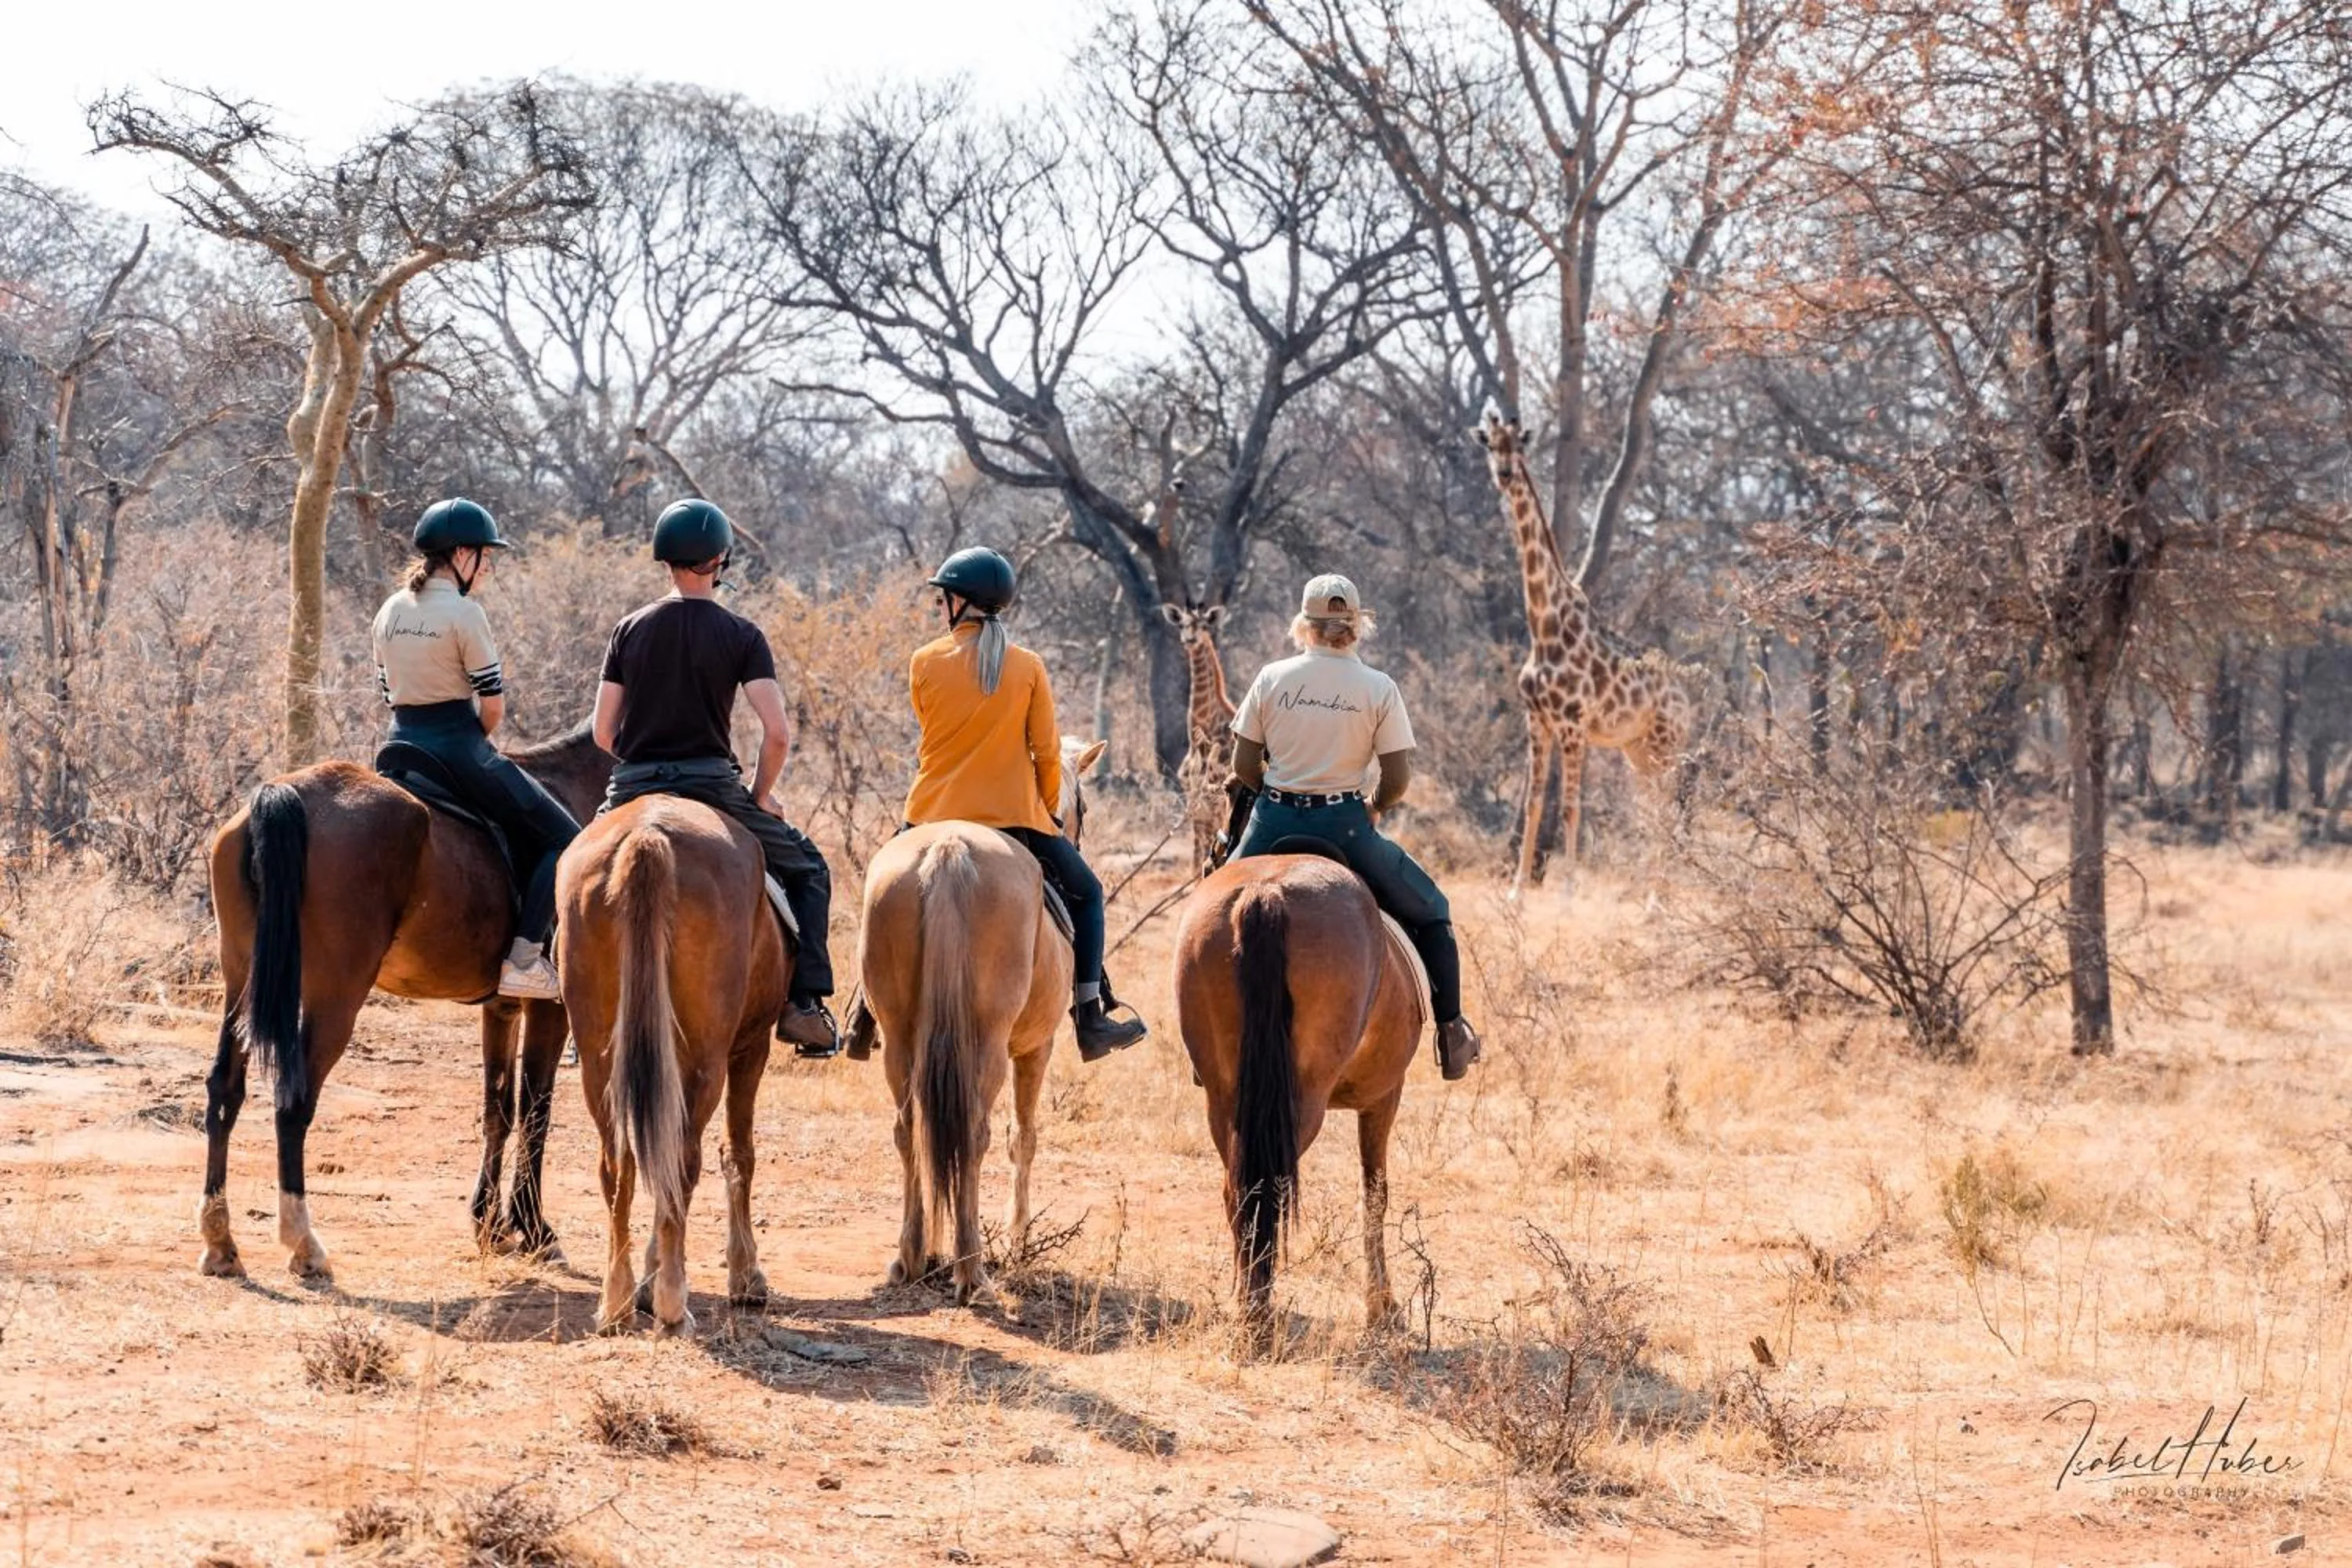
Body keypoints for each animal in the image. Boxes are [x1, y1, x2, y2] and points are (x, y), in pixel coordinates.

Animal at [199, 727, 613, 1282]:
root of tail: (288, 794)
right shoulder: (552, 1011)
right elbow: (535, 1112)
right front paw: (535, 1231)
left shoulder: (502, 1008)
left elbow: (498, 1110)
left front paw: (490, 1228)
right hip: (335, 995)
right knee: (293, 1103)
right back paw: (304, 1245)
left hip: (243, 982)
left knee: (225, 1089)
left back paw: (221, 1242)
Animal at [556, 794, 793, 1336]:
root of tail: (650, 834)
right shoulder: (751, 1047)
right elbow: (739, 1153)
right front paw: (745, 1275)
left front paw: (647, 1277)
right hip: (706, 1058)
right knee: (682, 1161)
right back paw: (671, 1303)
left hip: (599, 1059)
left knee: (620, 1161)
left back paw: (617, 1302)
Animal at [860, 737, 1108, 1304]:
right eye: (1083, 807)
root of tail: (950, 850)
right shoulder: (1037, 1047)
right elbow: (1024, 1137)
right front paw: (1018, 1240)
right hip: (991, 1043)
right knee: (973, 1133)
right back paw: (972, 1271)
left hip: (899, 1038)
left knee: (911, 1130)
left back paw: (910, 1258)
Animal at [1173, 851, 1425, 1344]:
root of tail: (1265, 891)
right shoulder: (1385, 1096)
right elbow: (1375, 1195)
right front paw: (1383, 1307)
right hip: (1301, 1103)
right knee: (1268, 1189)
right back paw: (1258, 1317)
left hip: (1226, 1101)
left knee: (1239, 1191)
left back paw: (1246, 1308)